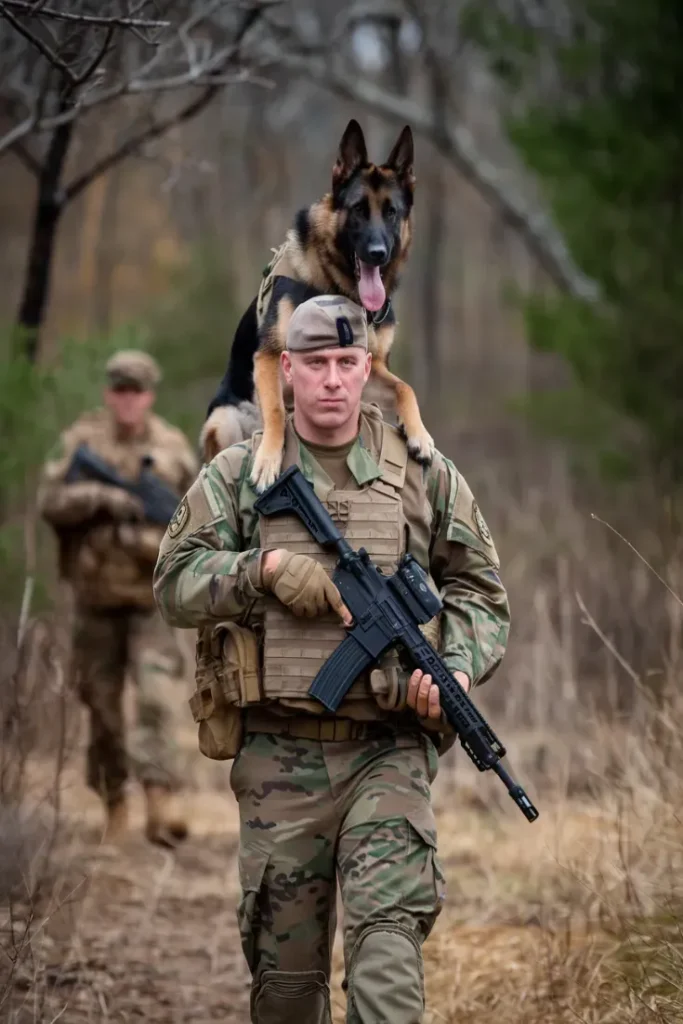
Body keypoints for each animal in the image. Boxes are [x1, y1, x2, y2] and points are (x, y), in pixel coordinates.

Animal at [201, 117, 432, 489]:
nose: (378, 253)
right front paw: (267, 460)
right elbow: (276, 411)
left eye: (392, 213)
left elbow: (405, 387)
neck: (342, 289)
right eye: (358, 210)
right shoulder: (267, 359)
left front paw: (419, 433)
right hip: (224, 420)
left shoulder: (369, 370)